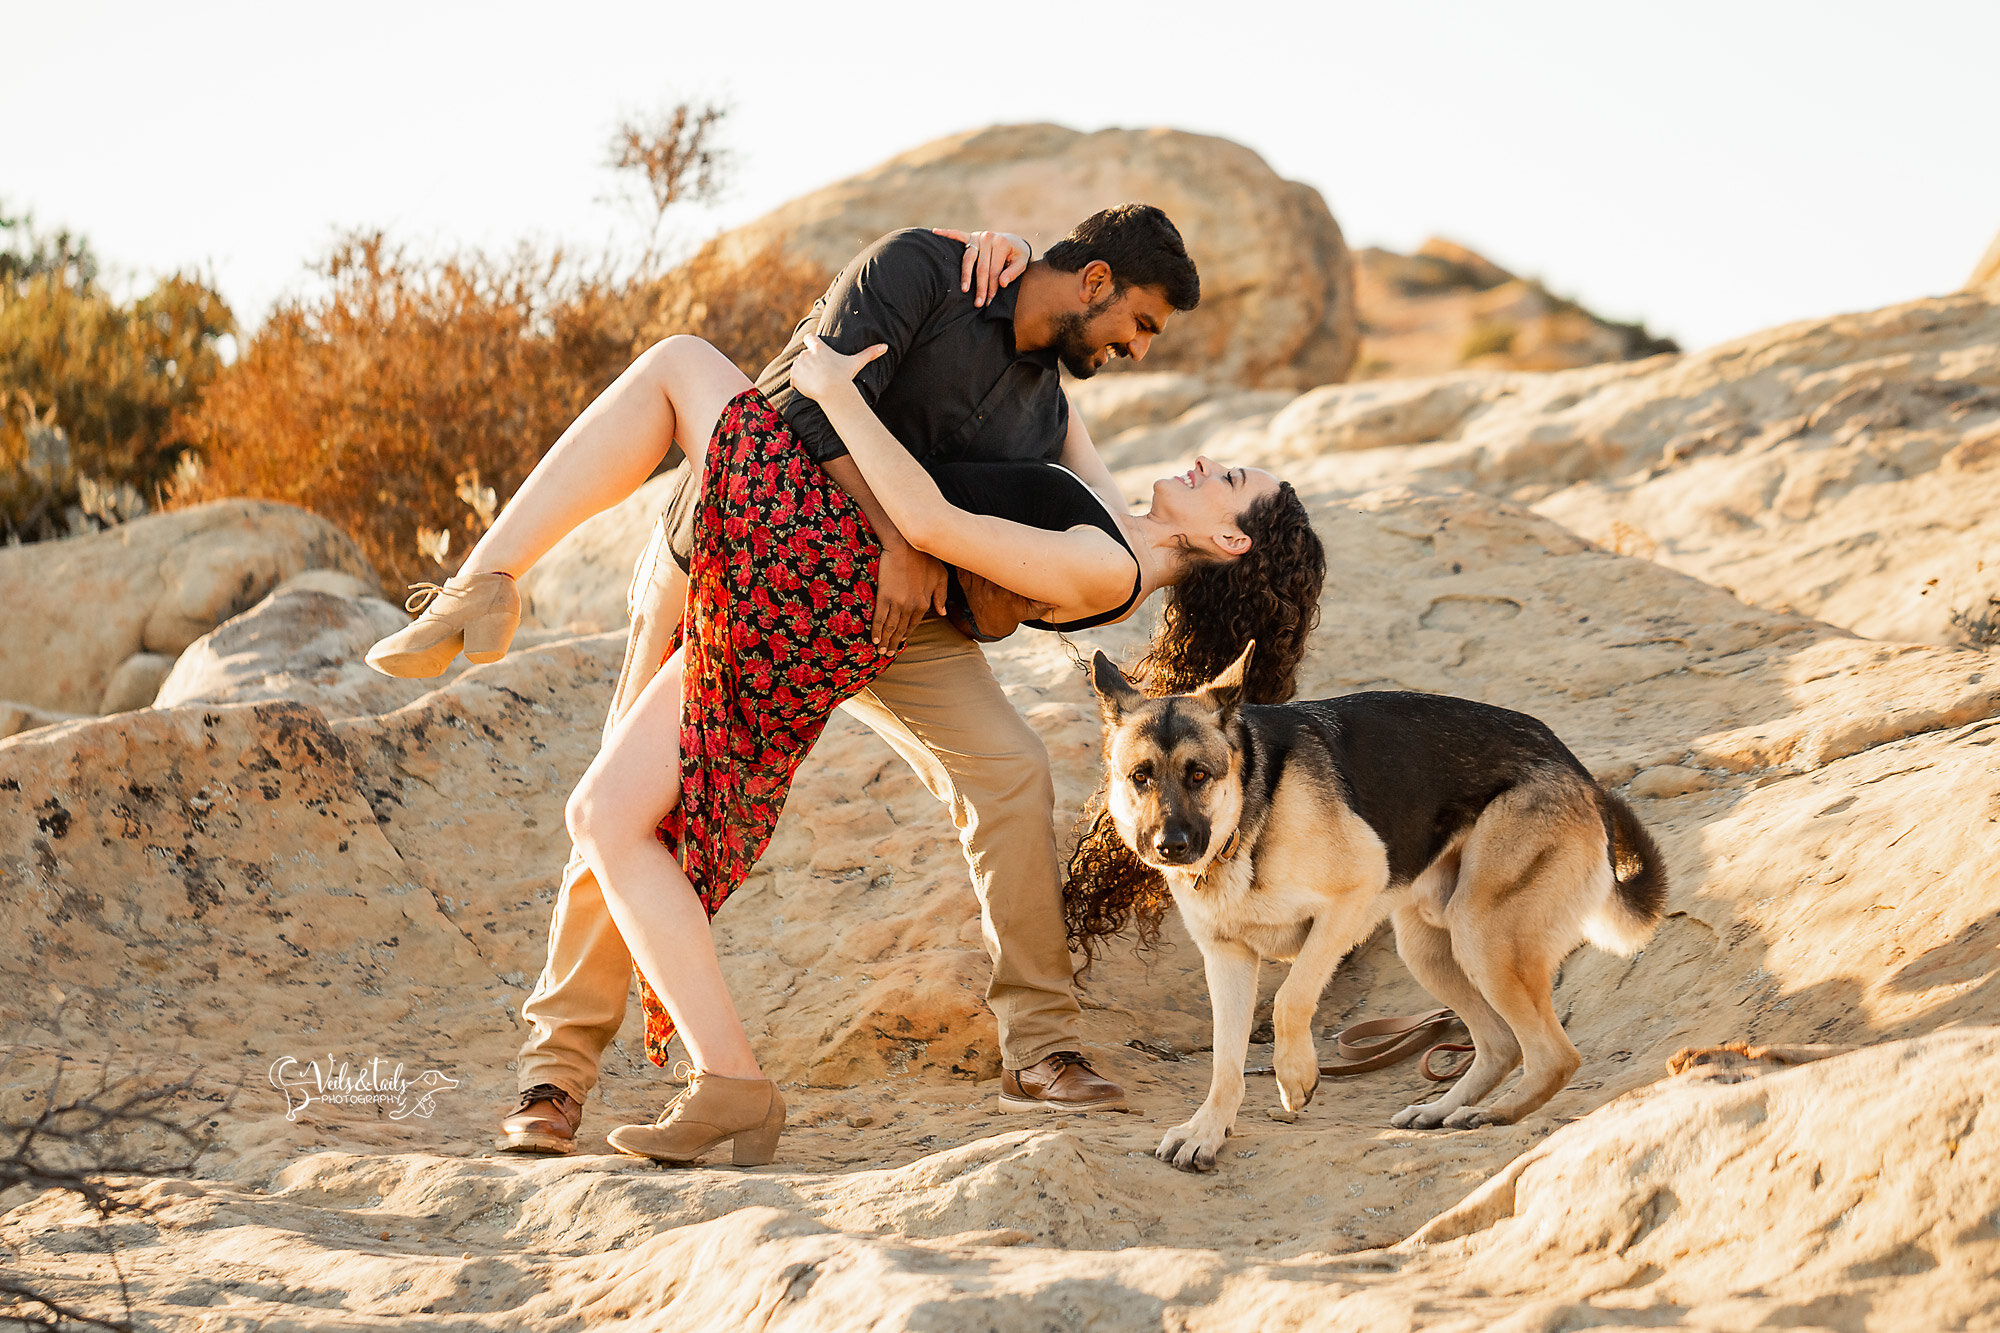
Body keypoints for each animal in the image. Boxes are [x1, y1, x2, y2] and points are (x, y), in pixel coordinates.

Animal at [1088, 648, 1664, 1168]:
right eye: (1140, 776)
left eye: (1199, 775)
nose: (1170, 846)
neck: (1250, 817)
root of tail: (1578, 771)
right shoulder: (1227, 958)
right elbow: (1225, 1061)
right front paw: (1206, 1130)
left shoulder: (1351, 898)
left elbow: (1290, 999)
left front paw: (1294, 1076)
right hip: (1431, 951)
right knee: (1502, 1045)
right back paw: (1442, 1110)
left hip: (1482, 937)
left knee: (1555, 1057)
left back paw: (1493, 1114)